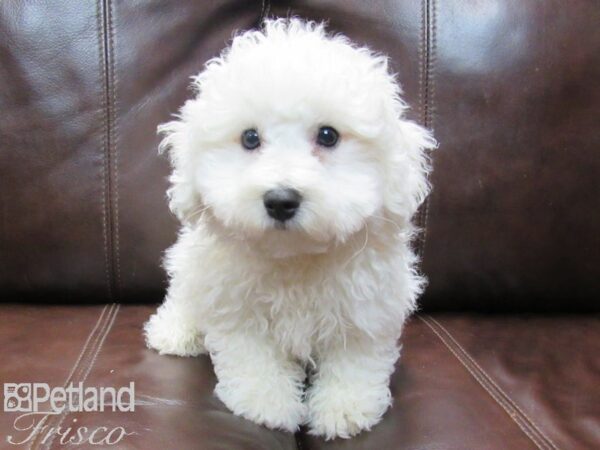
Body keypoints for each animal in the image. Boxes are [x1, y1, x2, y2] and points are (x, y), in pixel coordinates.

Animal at [145, 18, 436, 440]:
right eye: (250, 138)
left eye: (328, 135)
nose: (281, 200)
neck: (295, 258)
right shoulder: (235, 306)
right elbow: (251, 357)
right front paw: (266, 404)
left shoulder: (366, 307)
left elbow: (355, 358)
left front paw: (345, 409)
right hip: (191, 265)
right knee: (183, 293)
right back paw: (176, 331)